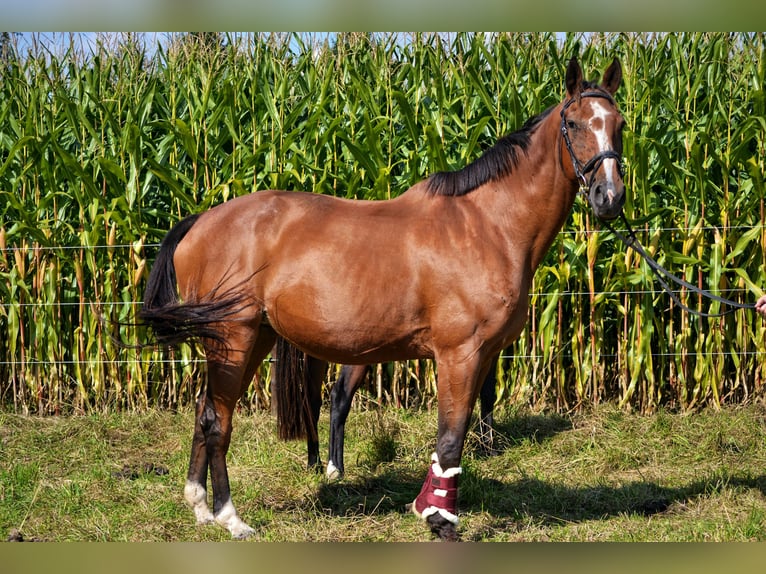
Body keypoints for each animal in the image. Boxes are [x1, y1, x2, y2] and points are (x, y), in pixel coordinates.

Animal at [272, 340, 500, 480]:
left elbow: (487, 393)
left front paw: (486, 444)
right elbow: (487, 394)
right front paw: (490, 446)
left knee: (312, 403)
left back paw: (315, 464)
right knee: (339, 396)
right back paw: (335, 468)